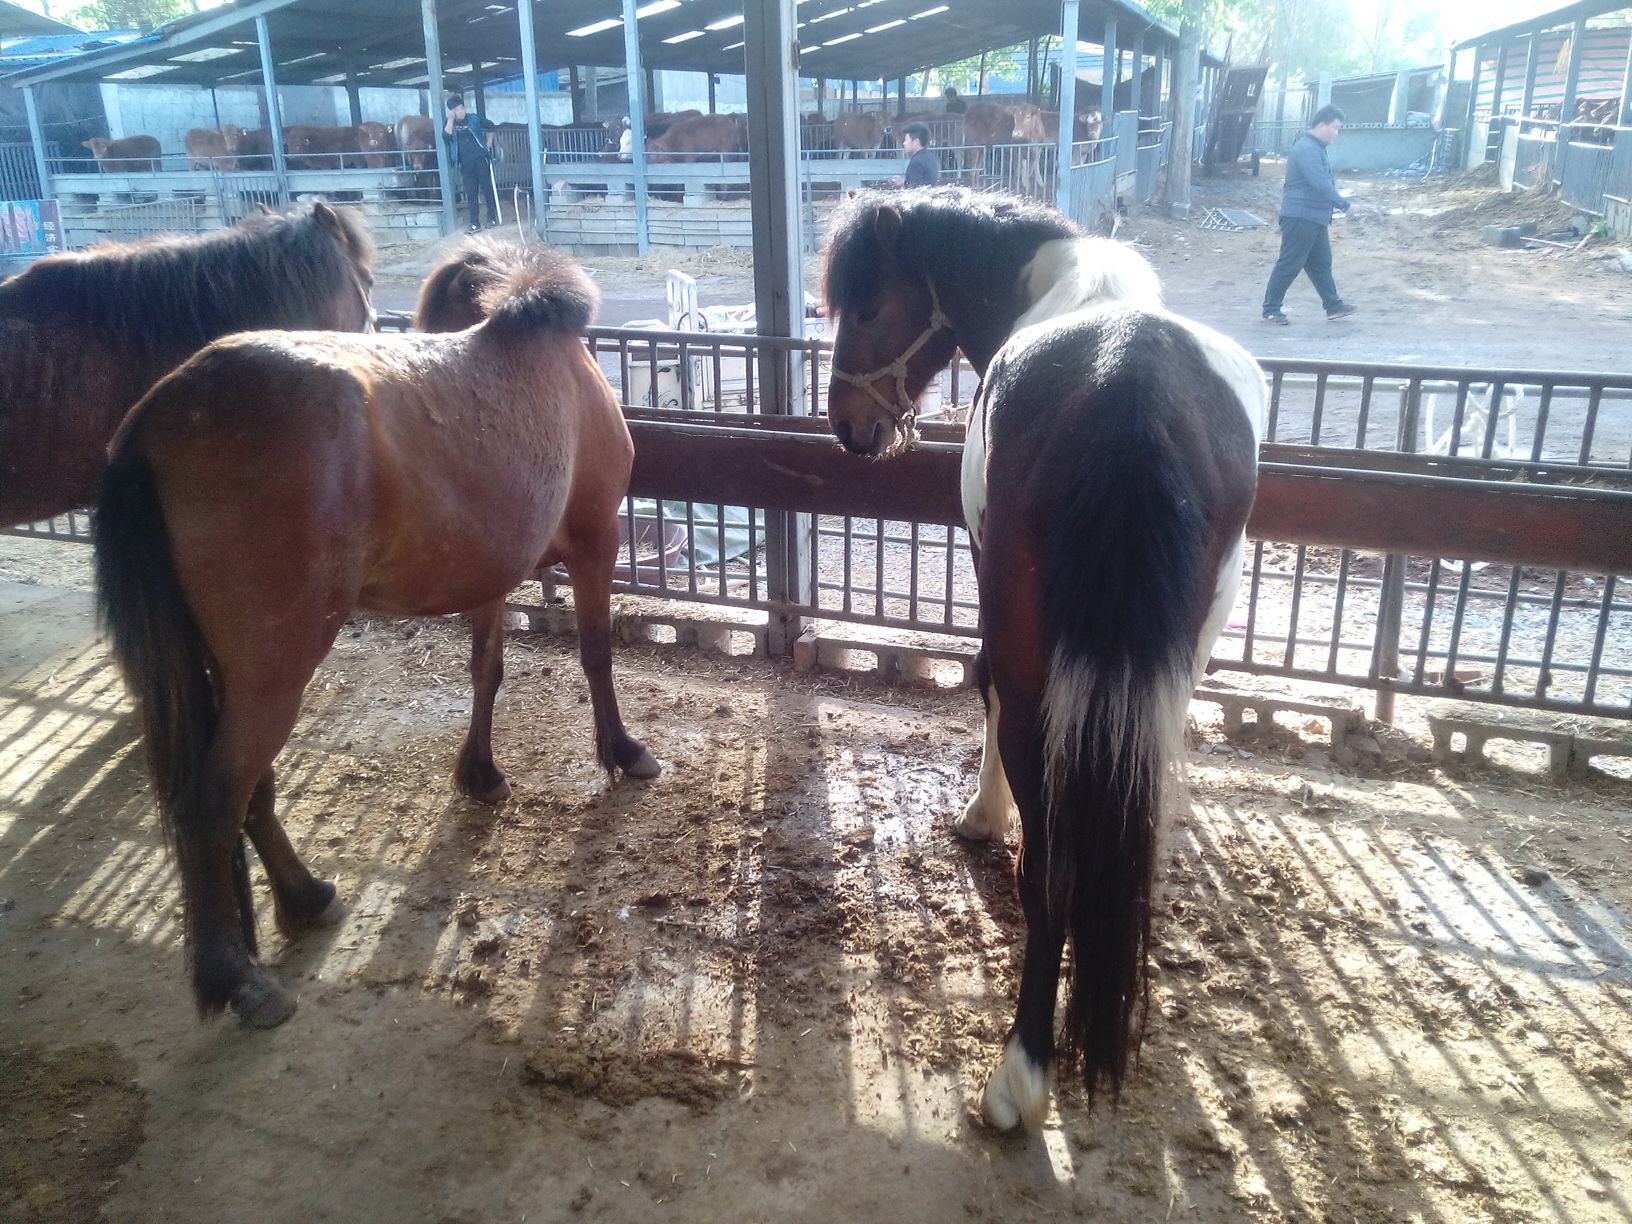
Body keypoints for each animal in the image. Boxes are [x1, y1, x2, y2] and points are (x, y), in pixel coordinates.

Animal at [94, 237, 661, 1029]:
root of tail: (156, 418)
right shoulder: (595, 541)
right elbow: (596, 655)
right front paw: (622, 751)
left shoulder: (488, 573)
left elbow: (487, 668)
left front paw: (480, 772)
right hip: (275, 668)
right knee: (212, 800)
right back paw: (239, 978)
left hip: (229, 668)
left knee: (248, 788)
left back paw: (305, 898)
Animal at [823, 188, 1265, 1131]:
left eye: (869, 306)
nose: (848, 424)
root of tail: (1129, 383)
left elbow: (982, 686)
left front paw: (983, 816)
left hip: (1039, 664)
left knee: (1050, 866)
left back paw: (1021, 1070)